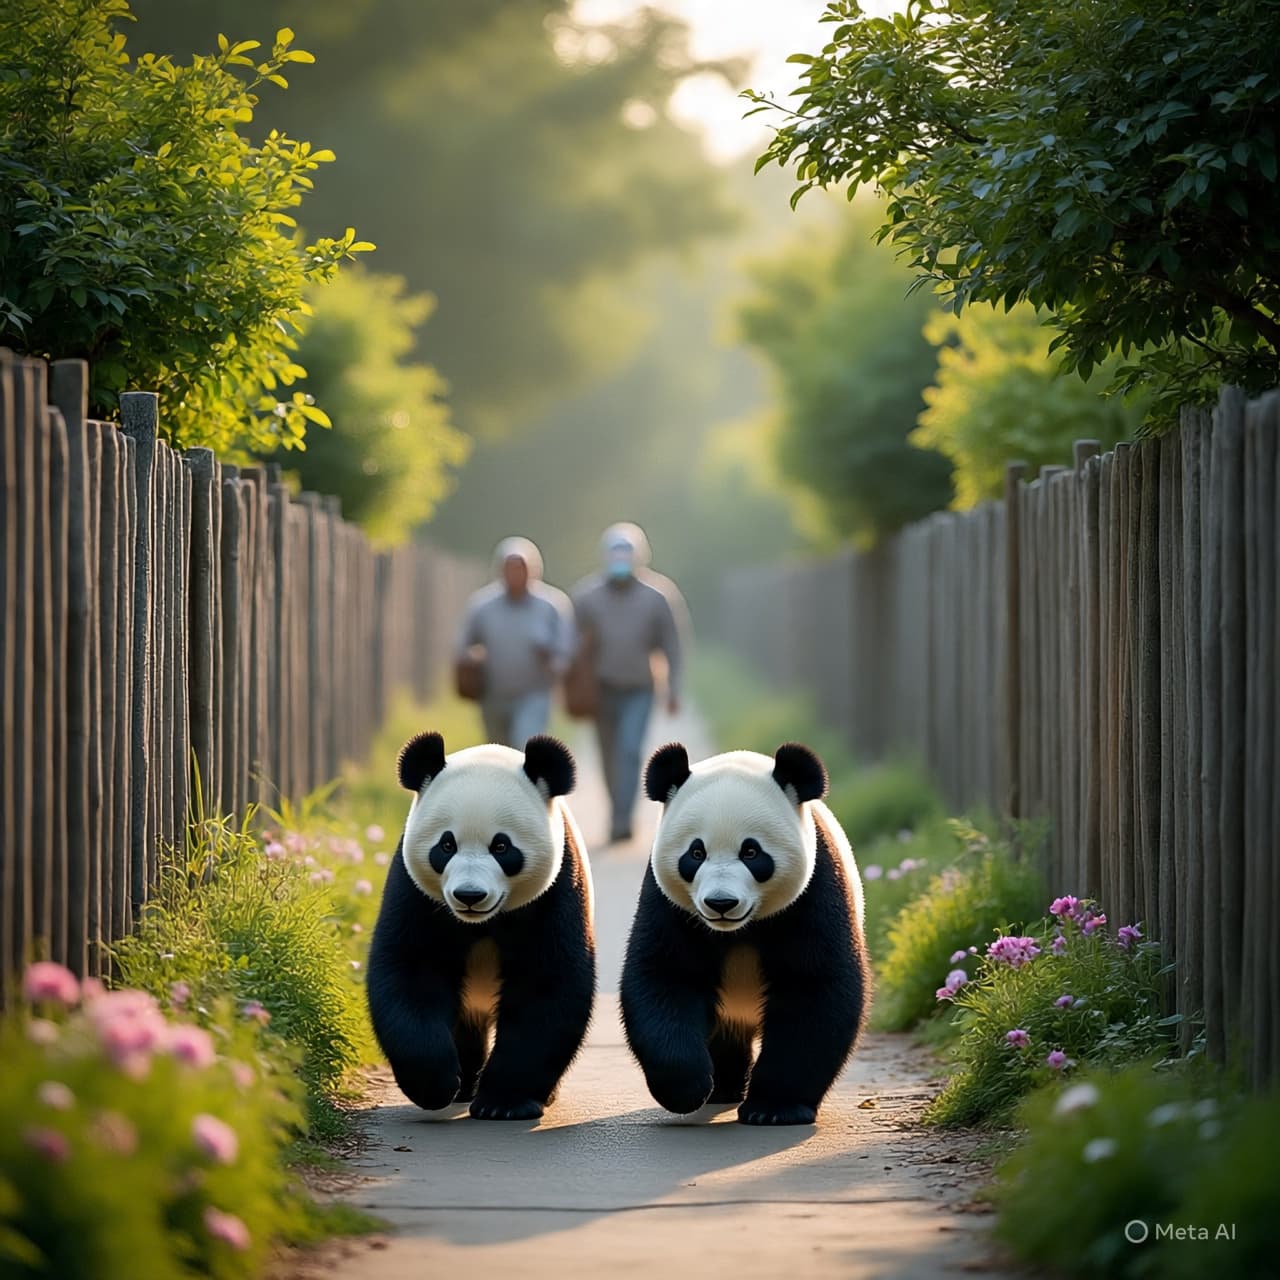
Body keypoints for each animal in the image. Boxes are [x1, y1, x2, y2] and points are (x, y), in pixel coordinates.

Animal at [367, 731, 595, 1120]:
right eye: (446, 844)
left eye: (502, 847)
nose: (469, 895)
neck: (482, 922)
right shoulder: (415, 893)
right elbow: (412, 971)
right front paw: (436, 1083)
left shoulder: (557, 890)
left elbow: (546, 983)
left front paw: (503, 1103)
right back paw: (463, 1085)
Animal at [620, 741, 869, 1126]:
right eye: (696, 852)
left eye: (751, 852)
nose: (721, 903)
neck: (738, 930)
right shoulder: (670, 905)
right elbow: (665, 977)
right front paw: (687, 1088)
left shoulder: (816, 892)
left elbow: (812, 988)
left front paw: (774, 1108)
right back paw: (721, 1088)